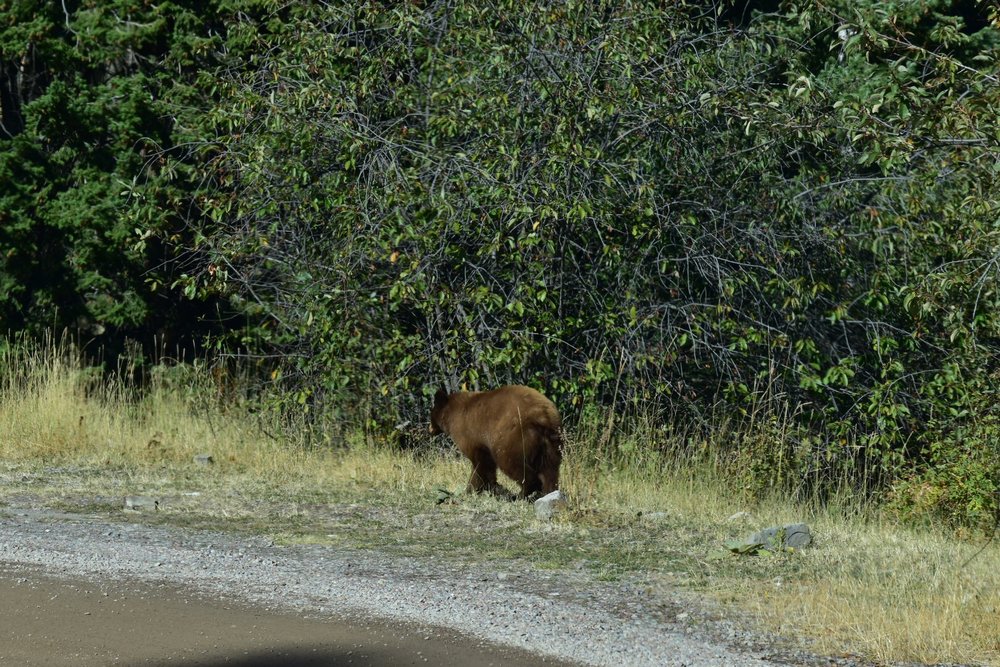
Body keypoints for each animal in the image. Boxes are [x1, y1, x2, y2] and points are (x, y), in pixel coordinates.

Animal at [430, 384, 564, 498]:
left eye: (431, 416)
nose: (429, 430)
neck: (452, 414)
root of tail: (543, 416)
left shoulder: (468, 433)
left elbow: (480, 463)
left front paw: (472, 489)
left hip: (512, 437)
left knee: (512, 463)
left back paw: (522, 493)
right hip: (552, 442)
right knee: (550, 469)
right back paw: (548, 491)